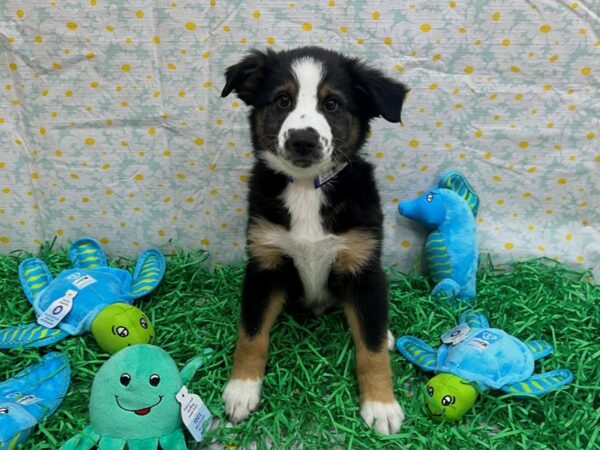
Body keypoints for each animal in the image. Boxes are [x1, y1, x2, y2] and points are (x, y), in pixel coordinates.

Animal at [220, 45, 408, 432]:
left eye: (332, 104)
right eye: (282, 100)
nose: (302, 139)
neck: (307, 188)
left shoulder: (364, 267)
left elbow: (371, 348)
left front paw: (381, 405)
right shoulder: (263, 265)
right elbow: (251, 333)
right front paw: (241, 390)